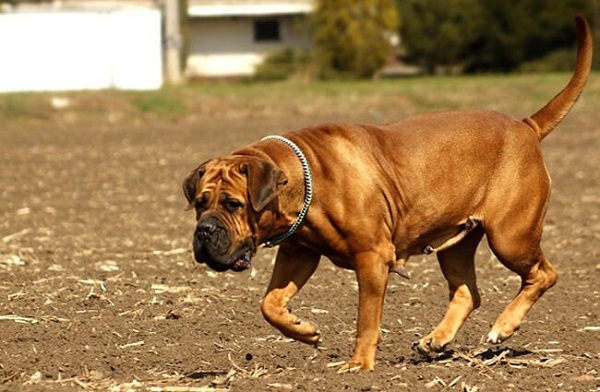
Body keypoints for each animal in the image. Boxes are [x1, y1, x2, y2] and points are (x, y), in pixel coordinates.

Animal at [182, 16, 592, 370]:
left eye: (233, 204)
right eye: (200, 203)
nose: (204, 231)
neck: (303, 181)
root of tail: (526, 126)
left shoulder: (372, 257)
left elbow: (366, 318)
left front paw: (359, 365)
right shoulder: (299, 253)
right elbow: (270, 303)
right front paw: (305, 331)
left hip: (510, 236)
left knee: (544, 274)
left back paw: (502, 327)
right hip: (458, 244)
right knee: (467, 292)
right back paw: (435, 340)